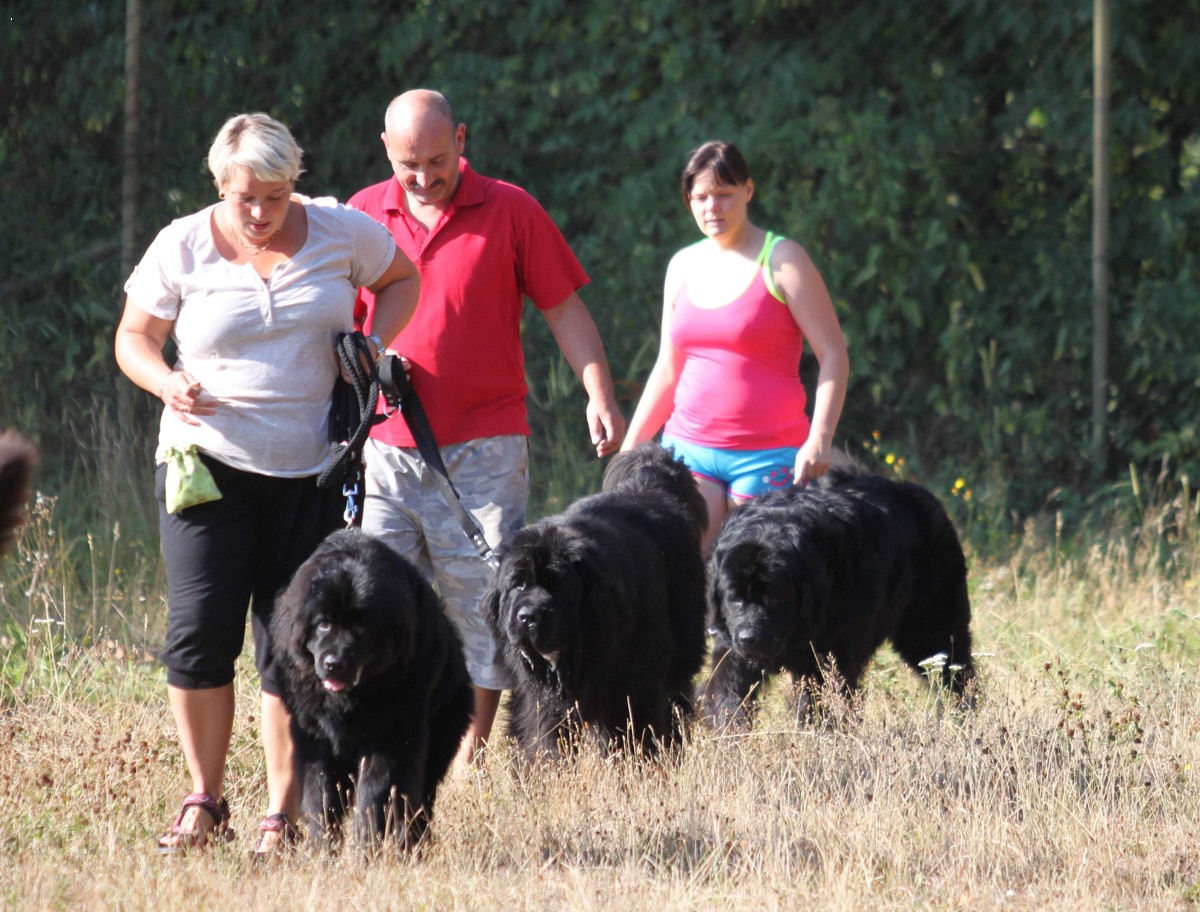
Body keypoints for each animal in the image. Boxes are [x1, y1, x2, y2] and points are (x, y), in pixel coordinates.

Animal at [271, 528, 474, 851]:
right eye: (324, 624)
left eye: (361, 630)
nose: (333, 663)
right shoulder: (313, 737)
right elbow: (321, 795)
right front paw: (322, 848)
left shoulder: (392, 736)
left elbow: (376, 795)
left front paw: (364, 848)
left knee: (419, 801)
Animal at [484, 443, 708, 760]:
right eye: (518, 584)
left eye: (557, 587)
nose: (527, 616)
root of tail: (650, 484)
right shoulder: (539, 696)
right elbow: (541, 734)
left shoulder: (635, 681)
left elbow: (640, 726)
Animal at [703, 459, 974, 727]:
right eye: (734, 599)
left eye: (773, 599)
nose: (749, 638)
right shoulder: (731, 646)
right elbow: (727, 688)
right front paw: (731, 727)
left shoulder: (829, 654)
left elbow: (820, 700)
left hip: (930, 627)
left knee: (952, 667)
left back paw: (962, 714)